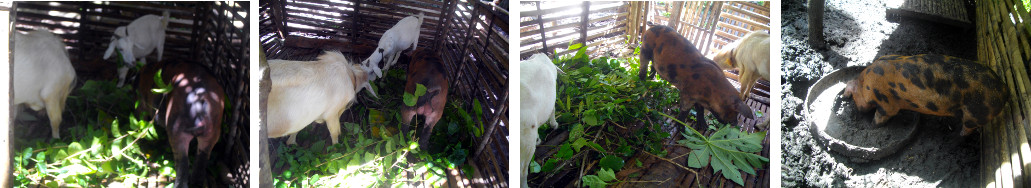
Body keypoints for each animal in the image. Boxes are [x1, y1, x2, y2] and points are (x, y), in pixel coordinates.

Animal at [845, 54, 1006, 136]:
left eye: (854, 98)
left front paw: (872, 126)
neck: (865, 85)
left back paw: (959, 135)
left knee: (968, 127)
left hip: (976, 114)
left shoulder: (887, 103)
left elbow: (882, 115)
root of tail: (1004, 89)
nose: (858, 111)